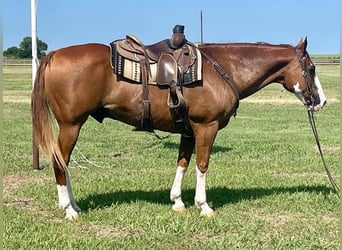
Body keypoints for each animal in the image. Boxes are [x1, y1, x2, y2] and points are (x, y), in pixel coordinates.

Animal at [31, 37, 326, 219]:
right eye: (311, 69)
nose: (321, 101)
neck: (223, 68)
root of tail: (54, 55)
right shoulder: (207, 127)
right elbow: (202, 165)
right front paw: (203, 206)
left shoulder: (188, 130)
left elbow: (182, 163)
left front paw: (178, 202)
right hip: (71, 125)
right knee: (60, 162)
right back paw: (68, 209)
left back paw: (75, 205)